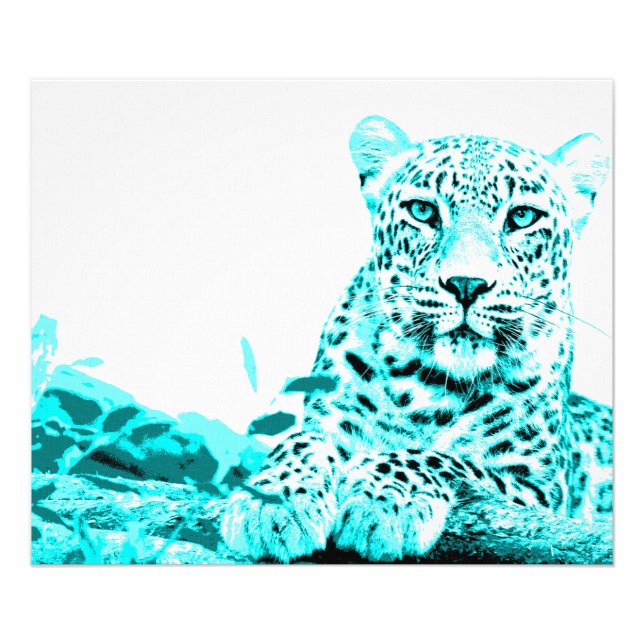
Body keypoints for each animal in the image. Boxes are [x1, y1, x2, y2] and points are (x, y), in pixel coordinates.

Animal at [220, 115, 612, 563]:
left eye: (523, 217)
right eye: (423, 211)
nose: (466, 284)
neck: (429, 388)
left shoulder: (539, 486)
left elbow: (441, 457)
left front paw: (381, 503)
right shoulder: (329, 422)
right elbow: (300, 441)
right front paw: (272, 502)